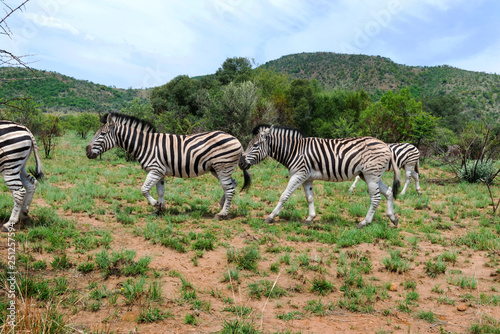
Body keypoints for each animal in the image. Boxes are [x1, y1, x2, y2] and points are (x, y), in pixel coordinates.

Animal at [86, 113, 252, 218]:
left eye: (102, 134)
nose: (87, 151)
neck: (144, 145)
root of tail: (236, 139)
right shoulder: (160, 172)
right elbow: (160, 191)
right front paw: (160, 209)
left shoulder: (155, 169)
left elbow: (144, 189)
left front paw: (154, 205)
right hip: (216, 168)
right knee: (232, 184)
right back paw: (222, 205)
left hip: (222, 166)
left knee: (229, 188)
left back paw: (222, 214)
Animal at [239, 125, 402, 230]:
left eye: (255, 145)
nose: (240, 163)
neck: (294, 151)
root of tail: (385, 145)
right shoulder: (307, 178)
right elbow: (309, 198)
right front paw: (310, 218)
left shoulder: (298, 174)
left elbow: (284, 196)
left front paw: (271, 216)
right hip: (369, 175)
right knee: (388, 192)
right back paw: (392, 218)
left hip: (371, 175)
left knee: (376, 198)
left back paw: (364, 222)